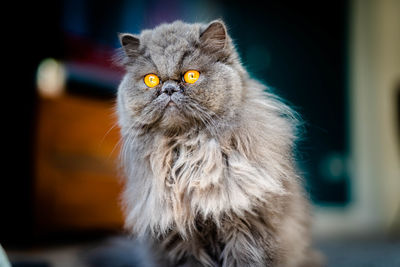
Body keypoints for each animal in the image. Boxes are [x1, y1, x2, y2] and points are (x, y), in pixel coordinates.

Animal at [115, 19, 322, 267]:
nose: (169, 89)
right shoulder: (181, 239)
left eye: (191, 76)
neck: (187, 154)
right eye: (151, 79)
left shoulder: (245, 228)